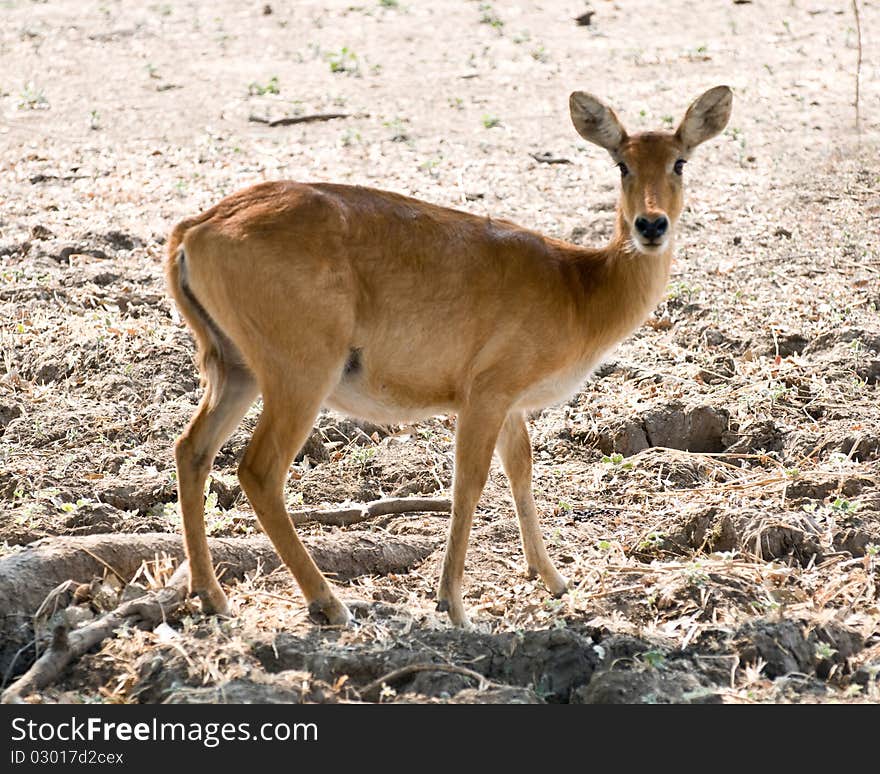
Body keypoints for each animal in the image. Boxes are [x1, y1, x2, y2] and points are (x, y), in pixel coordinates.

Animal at [168, 86, 732, 632]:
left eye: (680, 161)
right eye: (622, 164)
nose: (651, 225)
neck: (577, 285)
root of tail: (195, 229)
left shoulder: (510, 403)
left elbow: (521, 470)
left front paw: (552, 579)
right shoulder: (486, 394)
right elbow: (470, 483)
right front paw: (454, 605)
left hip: (235, 368)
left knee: (191, 449)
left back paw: (211, 596)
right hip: (301, 373)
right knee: (258, 470)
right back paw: (328, 604)